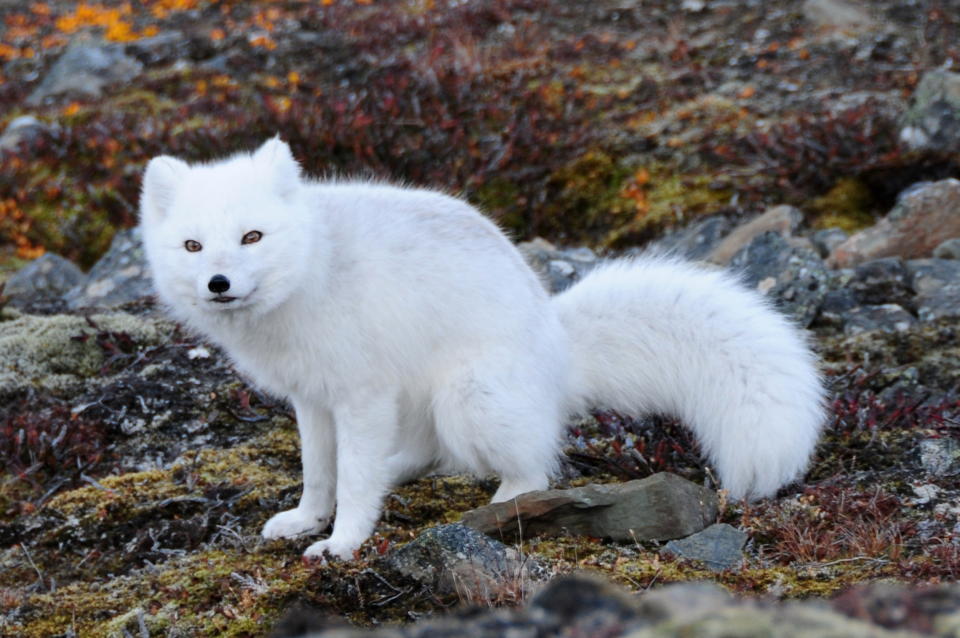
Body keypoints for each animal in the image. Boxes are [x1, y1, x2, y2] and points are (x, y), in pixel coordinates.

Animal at [141, 139, 824, 560]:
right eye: (193, 246)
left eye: (252, 236)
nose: (218, 284)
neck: (314, 268)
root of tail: (558, 346)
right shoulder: (313, 399)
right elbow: (319, 471)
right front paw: (308, 519)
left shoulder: (362, 395)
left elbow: (353, 480)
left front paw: (342, 543)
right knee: (429, 454)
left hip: (468, 397)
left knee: (534, 468)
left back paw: (498, 509)